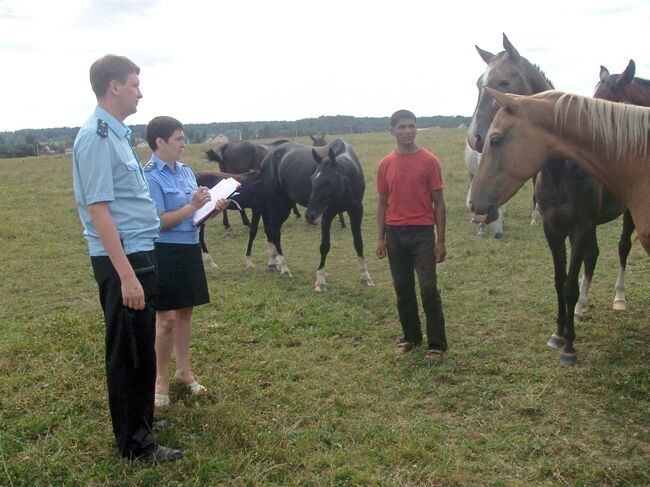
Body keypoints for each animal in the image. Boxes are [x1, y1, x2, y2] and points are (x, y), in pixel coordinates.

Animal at [256, 139, 372, 292]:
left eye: (328, 181)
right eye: (312, 179)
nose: (310, 216)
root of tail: (268, 157)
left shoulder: (356, 211)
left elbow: (358, 243)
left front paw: (365, 277)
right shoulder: (326, 215)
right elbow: (324, 246)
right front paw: (320, 281)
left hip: (285, 205)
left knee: (272, 231)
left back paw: (273, 262)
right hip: (275, 204)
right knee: (274, 232)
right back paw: (284, 269)